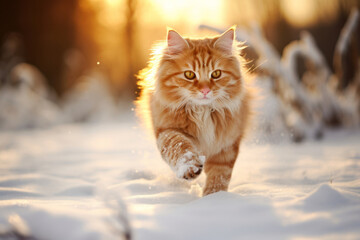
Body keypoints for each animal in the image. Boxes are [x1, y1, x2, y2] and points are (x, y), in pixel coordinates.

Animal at [136, 26, 252, 196]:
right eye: (189, 74)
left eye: (216, 74)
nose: (205, 90)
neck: (201, 111)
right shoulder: (167, 130)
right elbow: (179, 145)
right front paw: (189, 167)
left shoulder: (226, 146)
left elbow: (219, 175)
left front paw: (214, 197)